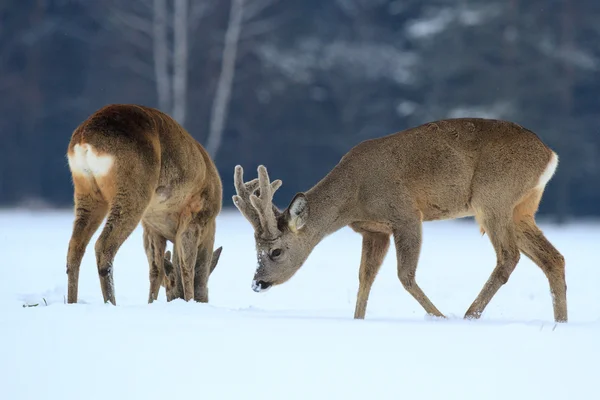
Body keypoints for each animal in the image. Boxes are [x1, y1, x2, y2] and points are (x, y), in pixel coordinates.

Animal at [65, 103, 224, 304]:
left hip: (86, 192)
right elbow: (187, 266)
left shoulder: (151, 226)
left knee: (75, 247)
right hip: (132, 189)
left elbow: (156, 269)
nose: (203, 299)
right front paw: (189, 301)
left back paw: (72, 302)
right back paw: (111, 302)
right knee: (103, 246)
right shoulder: (195, 215)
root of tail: (85, 139)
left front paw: (151, 302)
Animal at [231, 118, 568, 322]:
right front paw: (357, 320)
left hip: (493, 197)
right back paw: (561, 322)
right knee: (554, 258)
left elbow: (404, 275)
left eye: (276, 251)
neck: (354, 196)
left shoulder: (405, 214)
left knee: (509, 257)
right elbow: (364, 278)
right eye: (255, 249)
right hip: (521, 208)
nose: (257, 282)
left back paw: (468, 315)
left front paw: (439, 317)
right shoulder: (373, 230)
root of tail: (550, 155)